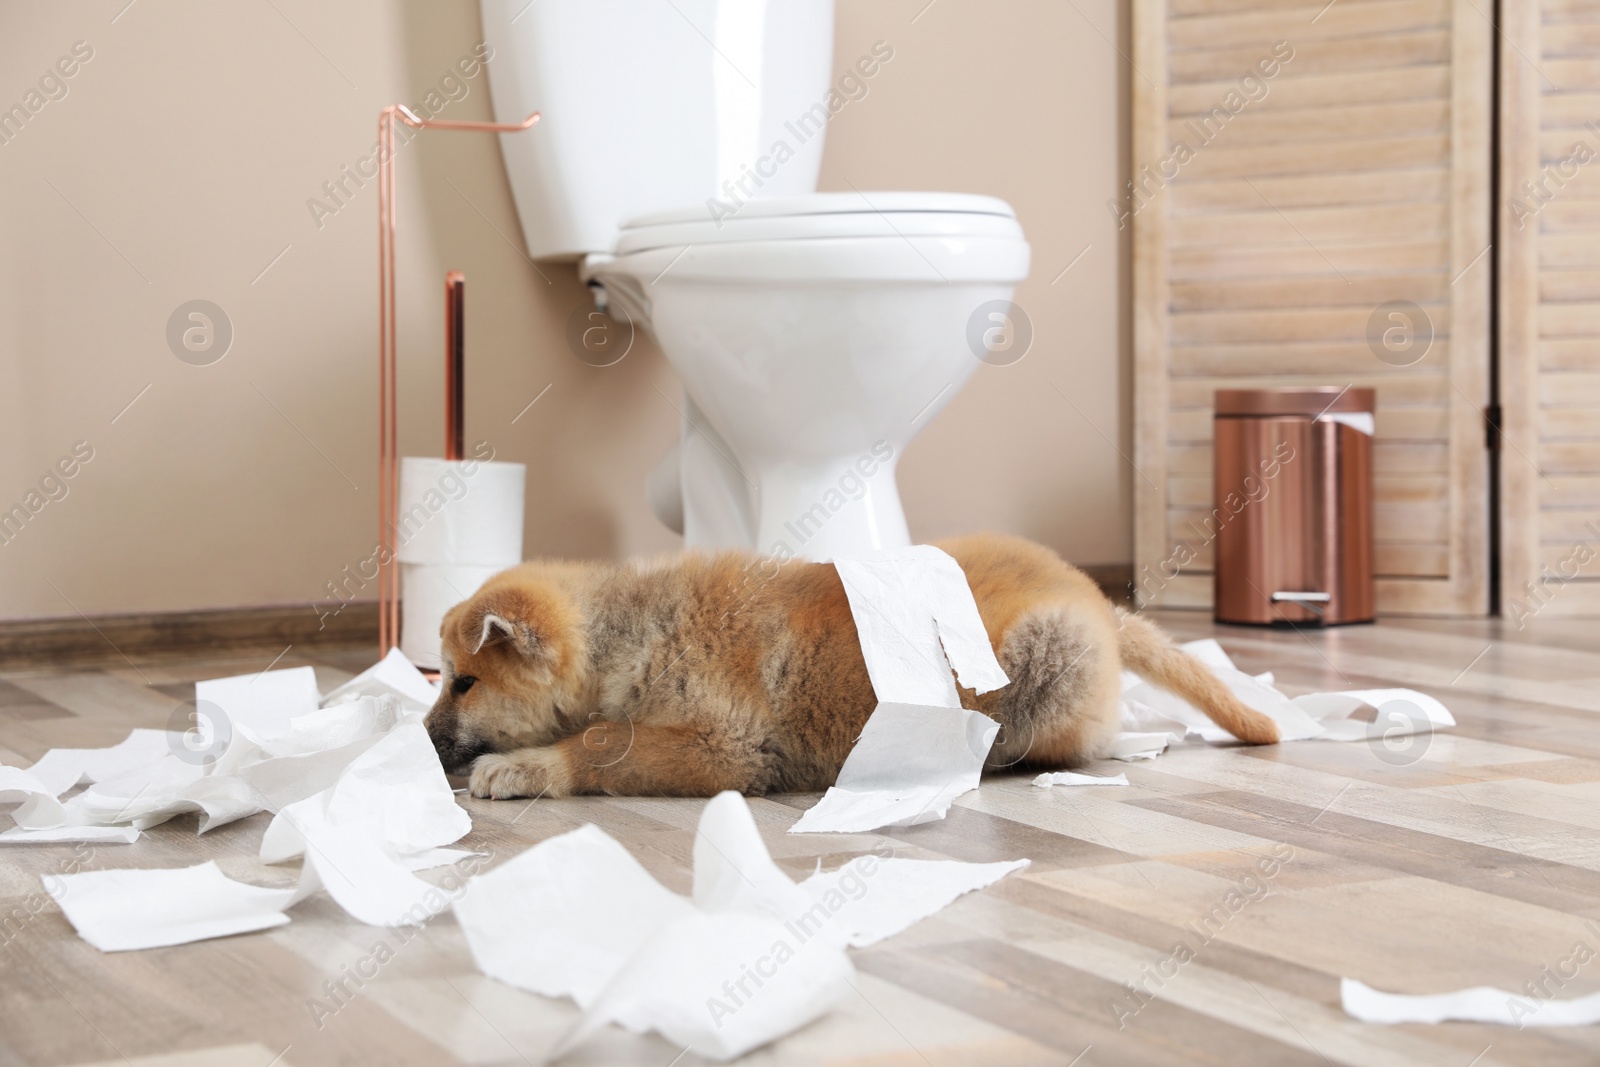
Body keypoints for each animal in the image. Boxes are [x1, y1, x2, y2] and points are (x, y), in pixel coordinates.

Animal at [425, 534, 1273, 799]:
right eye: (438, 676)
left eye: (465, 680)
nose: (424, 741)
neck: (631, 635)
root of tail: (1098, 599)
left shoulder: (730, 749)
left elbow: (602, 743)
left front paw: (525, 766)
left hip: (1042, 659)